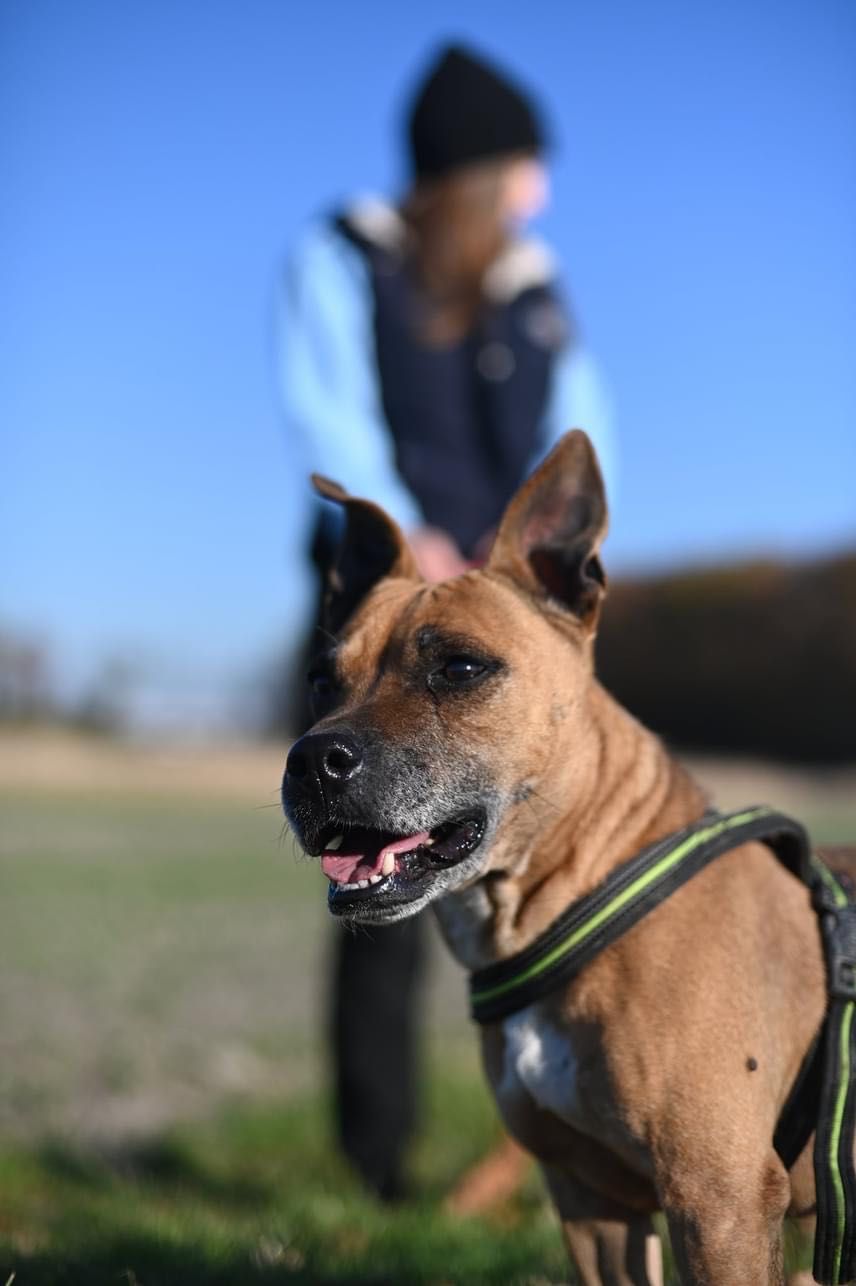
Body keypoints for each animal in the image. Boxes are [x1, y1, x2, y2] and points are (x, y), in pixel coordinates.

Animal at [281, 434, 838, 1286]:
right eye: (319, 679)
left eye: (460, 668)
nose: (311, 763)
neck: (578, 898)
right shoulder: (590, 1200)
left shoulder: (719, 1198)